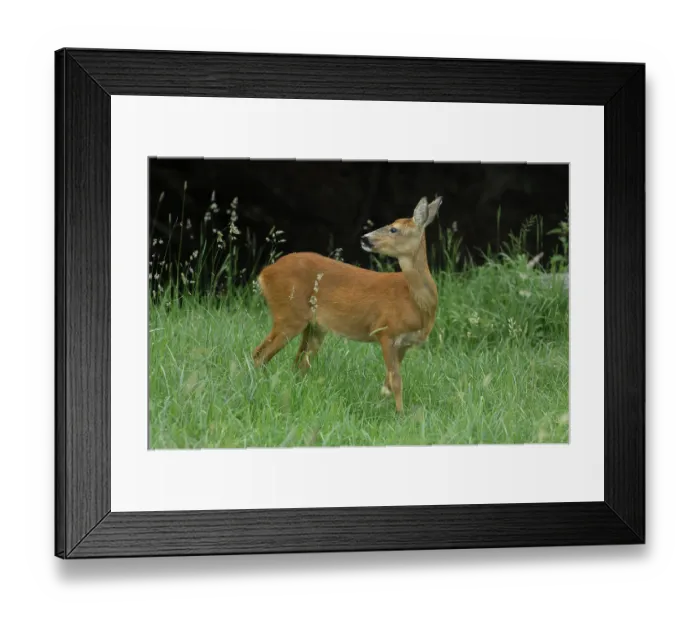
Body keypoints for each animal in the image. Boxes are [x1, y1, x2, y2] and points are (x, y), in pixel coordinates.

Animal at [252, 195, 442, 412]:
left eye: (394, 229)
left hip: (314, 326)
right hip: (289, 314)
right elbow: (396, 381)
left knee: (298, 363)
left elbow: (387, 384)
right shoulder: (384, 331)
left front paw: (382, 407)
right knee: (260, 355)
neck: (417, 304)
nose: (365, 238)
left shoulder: (404, 344)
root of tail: (264, 274)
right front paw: (400, 414)